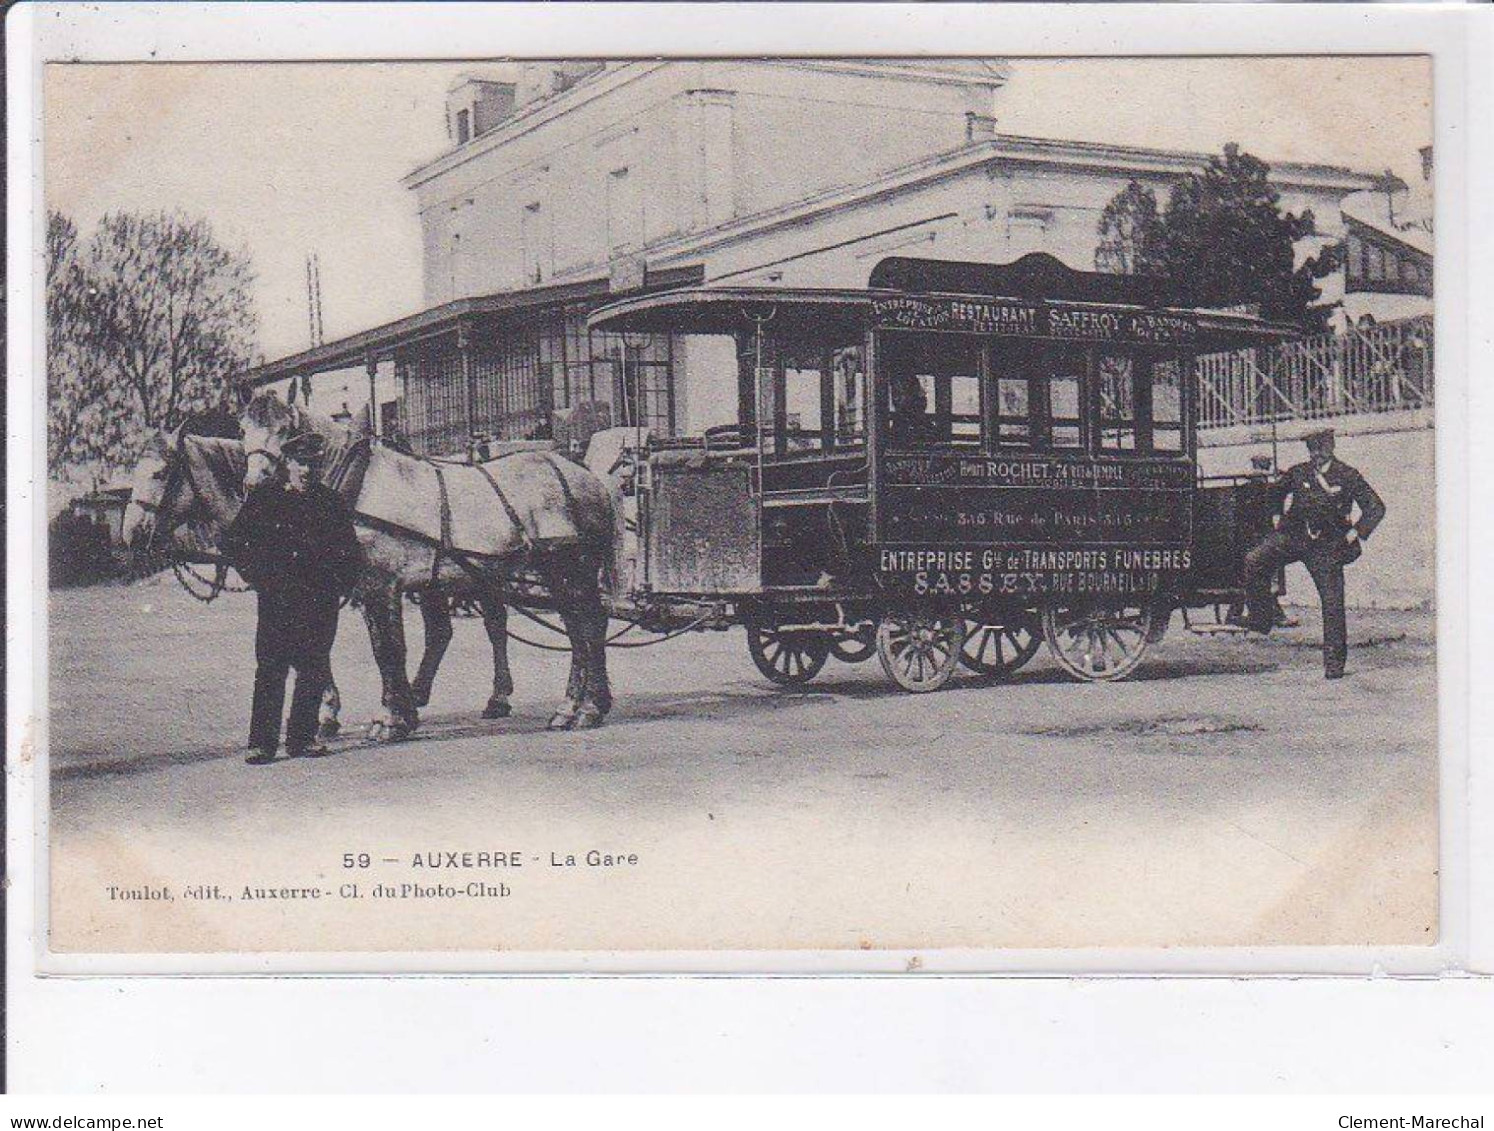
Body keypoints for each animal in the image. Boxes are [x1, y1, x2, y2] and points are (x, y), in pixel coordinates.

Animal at [119, 424, 522, 741]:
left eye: (160, 473)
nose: (130, 534)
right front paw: (334, 713)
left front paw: (328, 713)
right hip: (439, 581)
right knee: (443, 632)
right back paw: (419, 697)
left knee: (494, 625)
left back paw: (496, 698)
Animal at [242, 391, 615, 732]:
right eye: (242, 428)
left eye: (283, 428)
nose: (254, 482)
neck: (358, 484)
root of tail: (587, 475)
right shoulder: (368, 589)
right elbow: (383, 647)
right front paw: (398, 713)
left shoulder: (381, 584)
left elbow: (389, 649)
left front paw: (390, 719)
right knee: (576, 629)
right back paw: (574, 706)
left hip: (569, 568)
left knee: (588, 627)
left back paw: (583, 708)